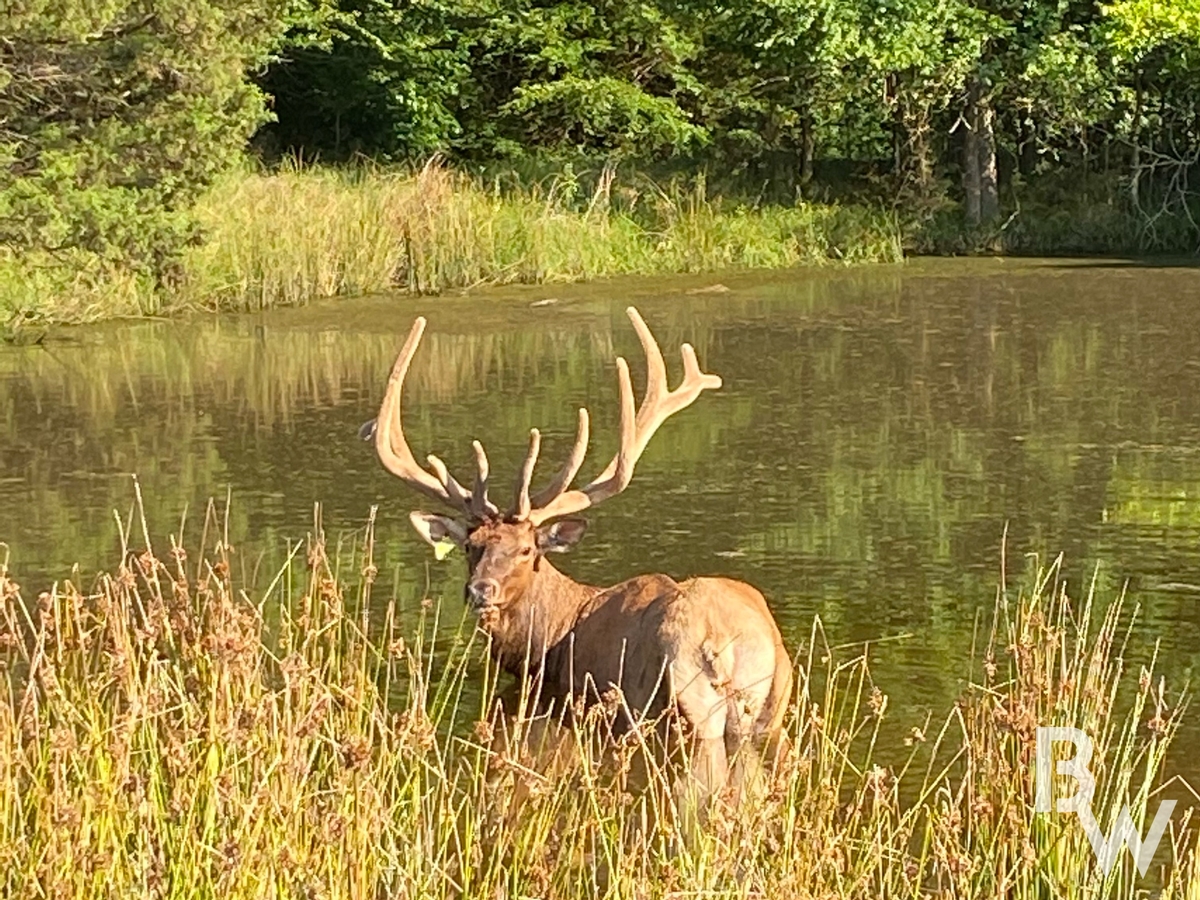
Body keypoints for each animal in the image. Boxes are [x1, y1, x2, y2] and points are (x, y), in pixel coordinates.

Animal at [366, 307, 792, 802]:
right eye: (471, 547)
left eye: (527, 549)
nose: (480, 590)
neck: (550, 637)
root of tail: (720, 641)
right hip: (772, 701)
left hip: (685, 701)